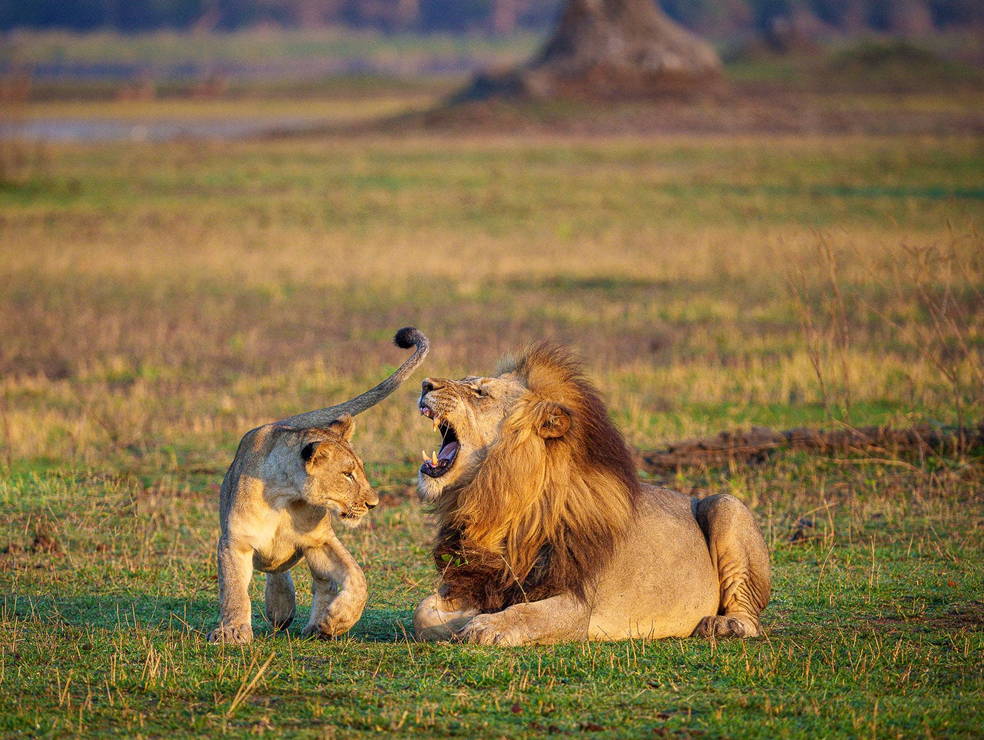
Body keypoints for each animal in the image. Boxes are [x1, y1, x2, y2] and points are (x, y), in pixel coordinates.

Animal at [207, 327, 429, 645]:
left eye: (360, 470)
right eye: (347, 474)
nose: (373, 503)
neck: (285, 498)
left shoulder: (319, 541)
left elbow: (357, 578)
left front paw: (336, 621)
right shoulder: (235, 542)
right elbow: (234, 592)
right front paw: (233, 632)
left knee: (318, 583)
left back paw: (312, 623)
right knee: (274, 570)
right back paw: (281, 607)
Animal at [412, 342, 770, 646]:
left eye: (480, 392)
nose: (426, 384)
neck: (498, 503)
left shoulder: (576, 604)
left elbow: (525, 614)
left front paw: (485, 624)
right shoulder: (472, 577)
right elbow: (422, 612)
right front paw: (461, 620)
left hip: (725, 505)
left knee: (749, 616)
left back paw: (722, 625)